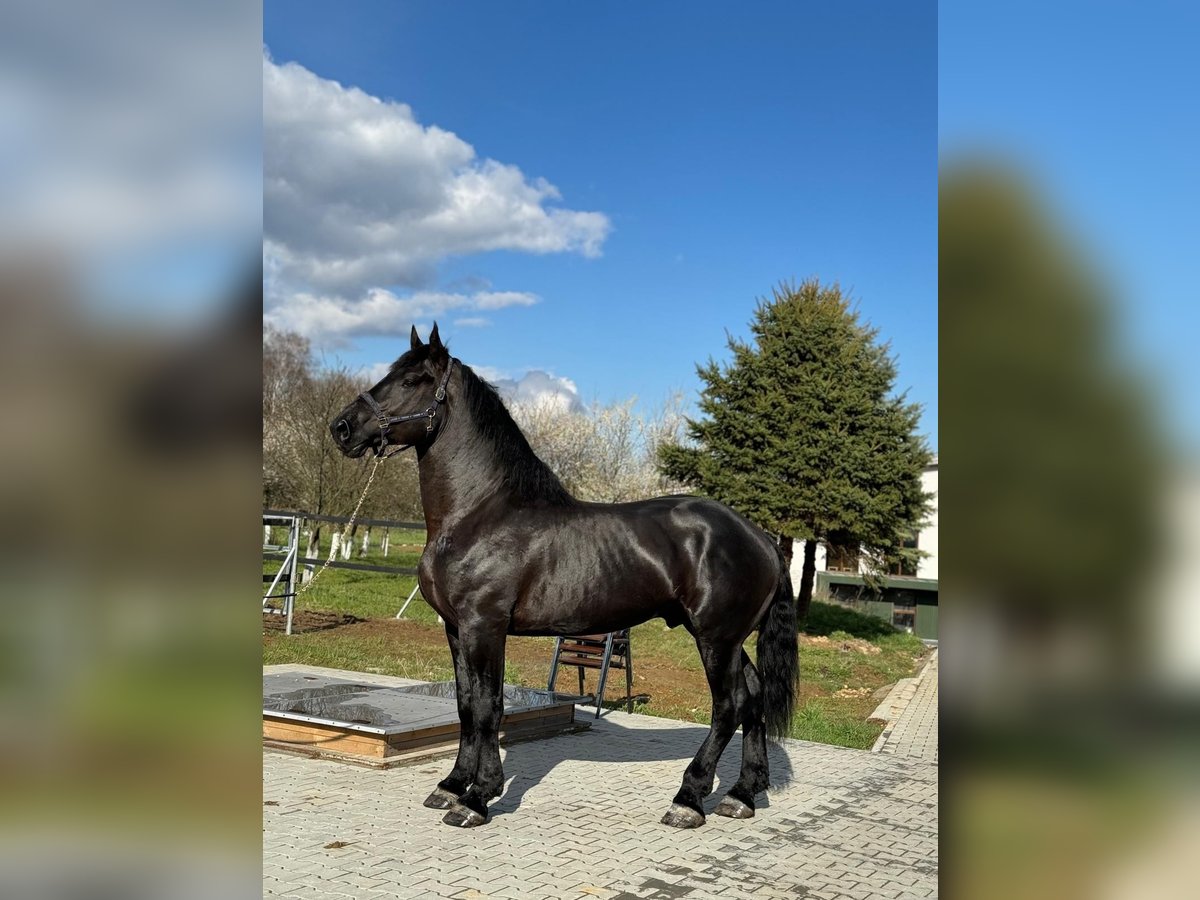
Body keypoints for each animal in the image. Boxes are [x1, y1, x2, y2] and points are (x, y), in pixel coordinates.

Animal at [331, 326, 796, 830]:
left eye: (412, 379)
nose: (342, 428)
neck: (480, 513)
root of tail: (760, 536)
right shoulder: (456, 629)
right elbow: (465, 705)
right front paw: (451, 785)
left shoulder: (484, 627)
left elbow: (488, 707)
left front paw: (478, 798)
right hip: (726, 639)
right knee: (753, 699)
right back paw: (741, 794)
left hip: (716, 639)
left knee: (728, 707)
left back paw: (688, 800)